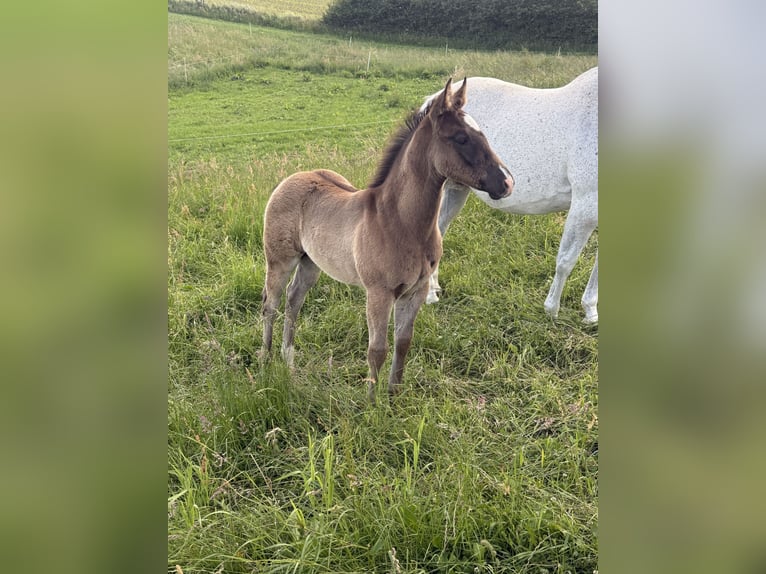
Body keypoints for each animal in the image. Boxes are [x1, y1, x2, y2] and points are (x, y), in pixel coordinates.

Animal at [261, 77, 514, 402]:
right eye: (460, 138)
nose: (506, 182)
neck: (401, 223)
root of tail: (290, 178)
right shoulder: (378, 293)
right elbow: (376, 350)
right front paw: (371, 404)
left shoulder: (415, 292)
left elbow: (403, 344)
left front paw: (394, 398)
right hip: (280, 260)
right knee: (271, 303)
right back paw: (266, 359)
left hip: (311, 263)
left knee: (294, 301)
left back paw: (289, 358)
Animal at [424, 67, 598, 324]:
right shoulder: (585, 205)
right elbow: (566, 260)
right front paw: (551, 311)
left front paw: (590, 312)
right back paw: (427, 296)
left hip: (456, 190)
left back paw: (433, 290)